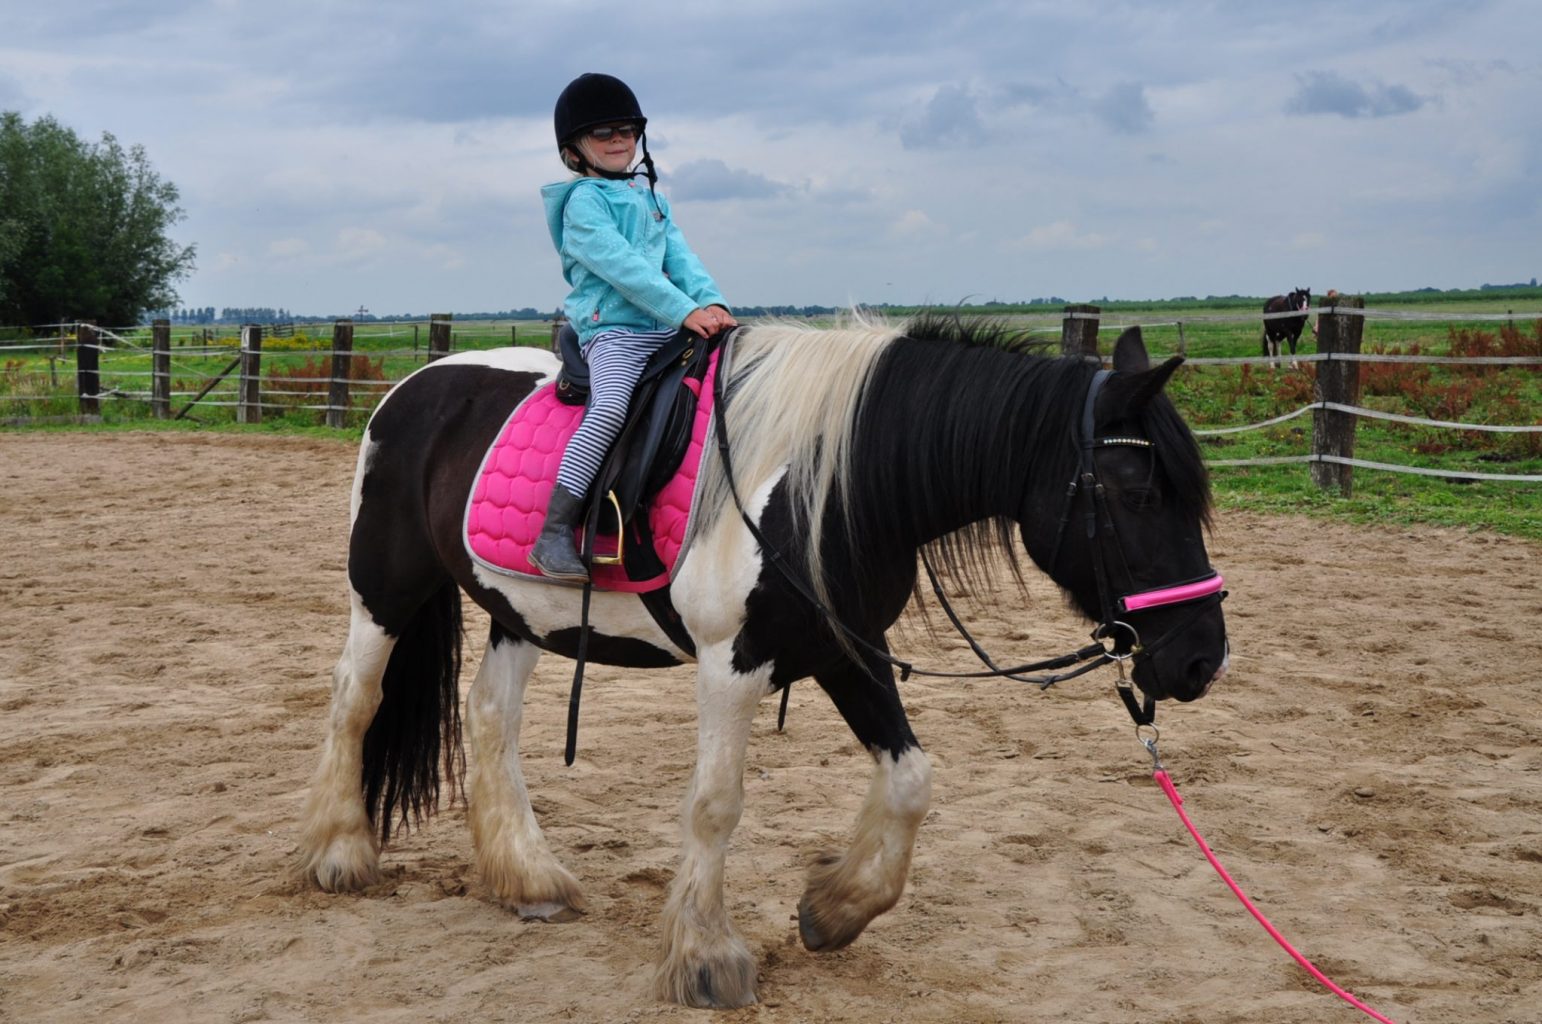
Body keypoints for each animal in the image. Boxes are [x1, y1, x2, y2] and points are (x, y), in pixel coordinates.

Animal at [296, 315, 1230, 1009]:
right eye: (1135, 491)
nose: (1200, 660)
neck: (833, 483)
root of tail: (418, 385)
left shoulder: (848, 649)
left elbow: (912, 780)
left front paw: (834, 910)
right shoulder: (732, 663)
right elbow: (716, 806)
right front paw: (707, 960)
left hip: (518, 613)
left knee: (491, 716)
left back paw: (527, 877)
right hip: (385, 587)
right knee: (355, 697)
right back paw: (340, 856)